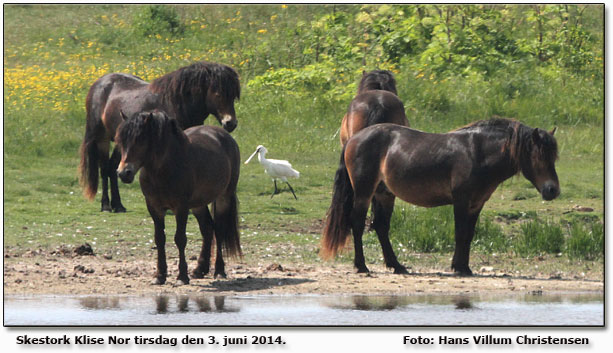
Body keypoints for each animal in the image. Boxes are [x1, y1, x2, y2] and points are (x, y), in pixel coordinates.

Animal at [80, 60, 241, 212]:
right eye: (218, 93)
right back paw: (106, 205)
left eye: (233, 96)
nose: (231, 123)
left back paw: (118, 205)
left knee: (113, 167)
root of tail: (99, 84)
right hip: (102, 139)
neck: (176, 102)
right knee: (104, 168)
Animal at [115, 110, 241, 284]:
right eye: (121, 141)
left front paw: (182, 276)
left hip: (224, 197)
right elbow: (159, 238)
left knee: (219, 230)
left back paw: (219, 270)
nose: (123, 173)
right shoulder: (154, 207)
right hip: (198, 204)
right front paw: (160, 276)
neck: (163, 170)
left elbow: (180, 239)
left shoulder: (181, 207)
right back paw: (200, 269)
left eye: (140, 140)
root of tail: (226, 136)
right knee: (207, 229)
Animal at [320, 118, 560, 276]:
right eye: (538, 156)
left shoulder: (476, 204)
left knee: (380, 226)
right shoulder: (461, 201)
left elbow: (468, 235)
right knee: (357, 223)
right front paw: (459, 268)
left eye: (553, 157)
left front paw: (464, 266)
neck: (477, 153)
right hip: (364, 192)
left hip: (384, 194)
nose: (553, 190)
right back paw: (361, 266)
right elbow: (460, 233)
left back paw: (397, 265)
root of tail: (354, 138)